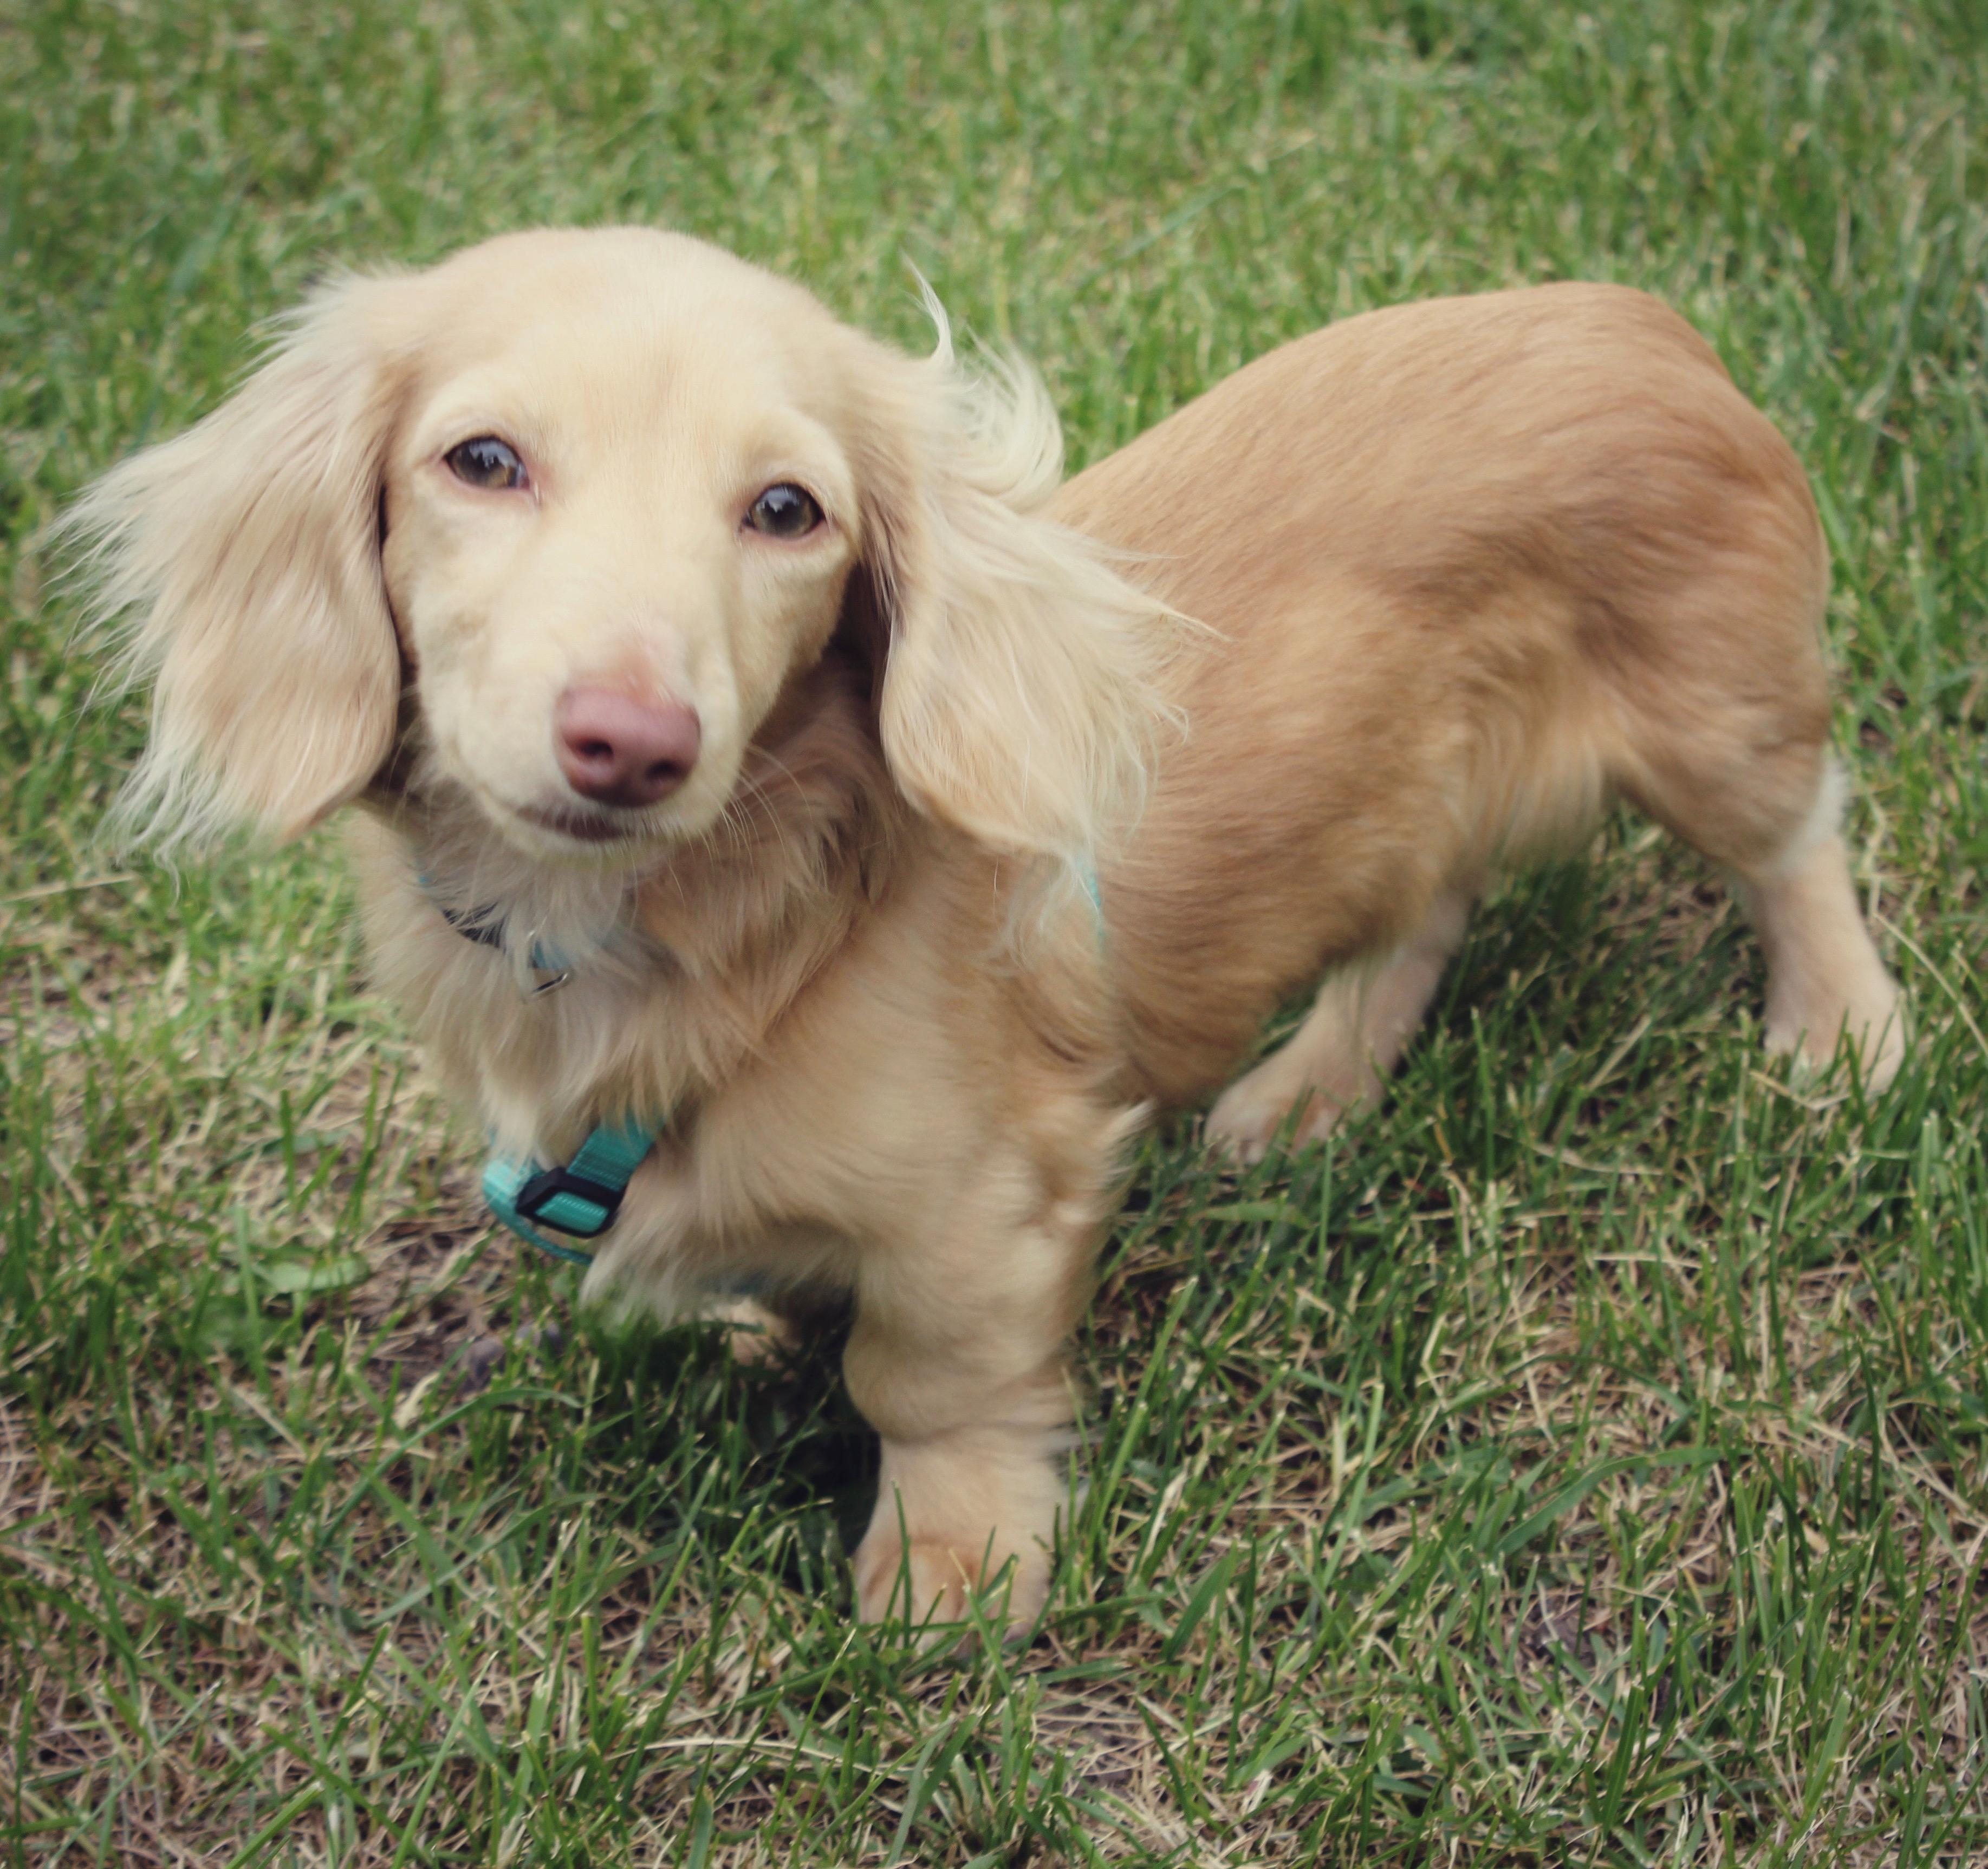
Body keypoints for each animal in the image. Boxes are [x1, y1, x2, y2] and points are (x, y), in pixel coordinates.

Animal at [62, 227, 1903, 1630]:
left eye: (786, 510)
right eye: (482, 461)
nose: (631, 742)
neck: (707, 941)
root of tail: (1636, 319)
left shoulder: (983, 1204)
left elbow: (926, 1381)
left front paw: (950, 1570)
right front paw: (761, 1312)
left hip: (1710, 712)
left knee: (1794, 837)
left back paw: (1835, 1028)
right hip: (1415, 778)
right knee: (1421, 908)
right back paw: (1310, 1087)